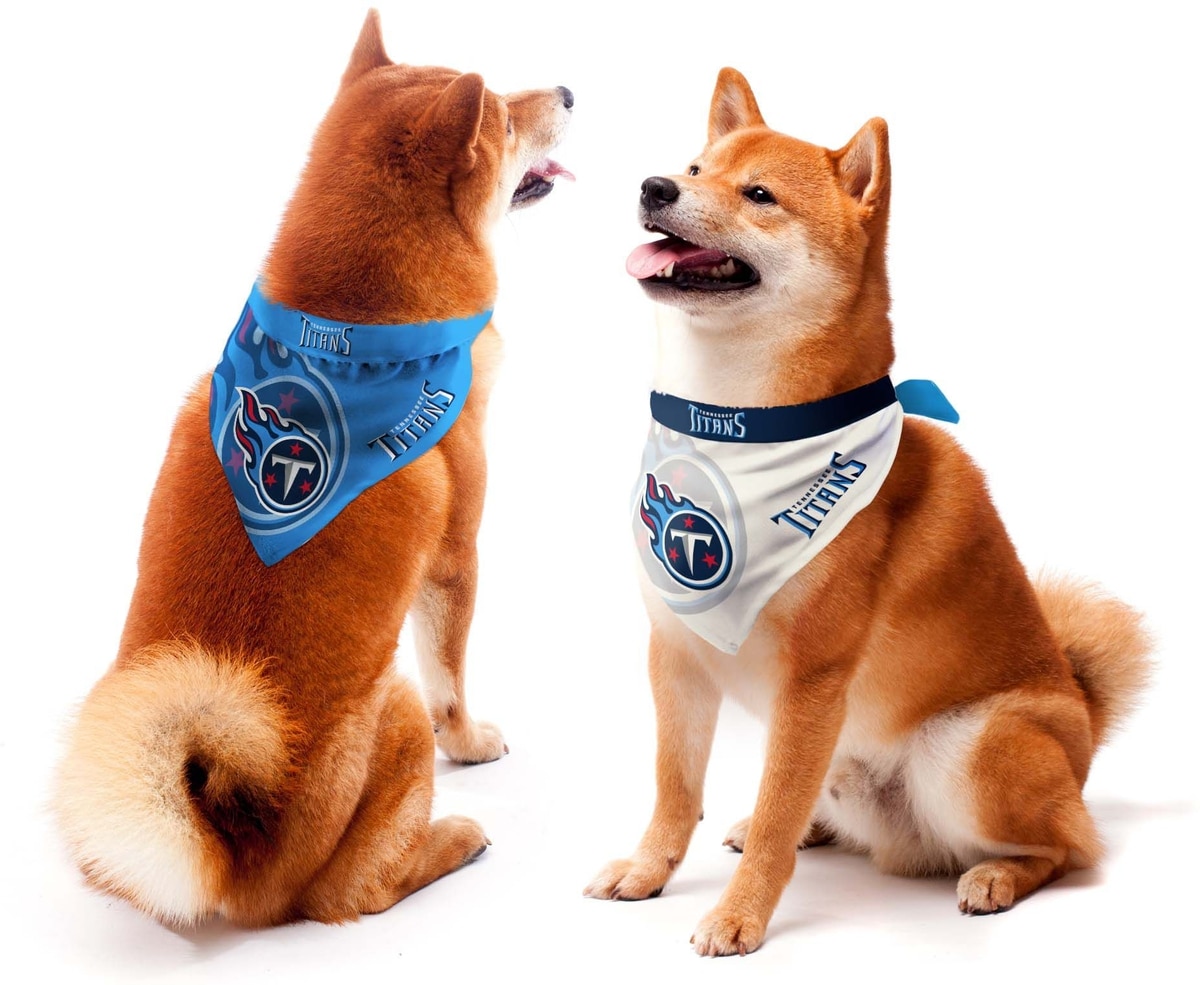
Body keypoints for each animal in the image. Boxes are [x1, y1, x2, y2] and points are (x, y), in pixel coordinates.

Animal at [52, 10, 572, 927]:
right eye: (508, 121)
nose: (572, 92)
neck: (350, 323)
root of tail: (231, 850)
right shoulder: (455, 556)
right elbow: (452, 677)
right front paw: (473, 741)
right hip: (392, 707)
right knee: (354, 889)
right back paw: (451, 838)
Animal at [584, 67, 1150, 956]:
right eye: (695, 167)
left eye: (759, 194)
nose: (654, 186)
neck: (739, 426)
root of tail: (1082, 725)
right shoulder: (676, 650)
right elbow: (676, 789)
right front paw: (650, 869)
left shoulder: (814, 679)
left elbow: (778, 809)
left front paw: (741, 914)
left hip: (968, 746)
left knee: (1072, 847)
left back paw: (996, 874)